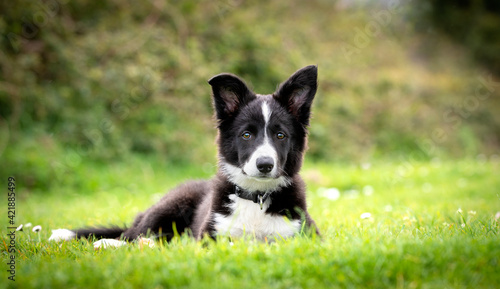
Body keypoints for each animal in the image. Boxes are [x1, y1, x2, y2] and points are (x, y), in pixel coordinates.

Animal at [50, 64, 320, 244]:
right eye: (246, 135)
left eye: (280, 135)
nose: (265, 165)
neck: (257, 197)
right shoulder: (209, 238)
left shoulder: (306, 236)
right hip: (167, 208)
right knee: (131, 235)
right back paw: (109, 242)